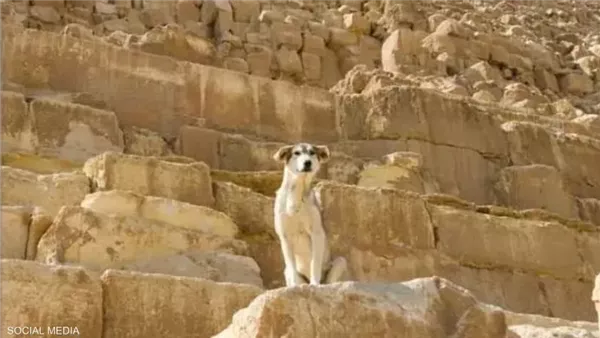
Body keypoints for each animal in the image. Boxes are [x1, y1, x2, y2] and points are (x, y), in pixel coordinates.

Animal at [272, 141, 346, 286]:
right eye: (297, 153)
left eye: (312, 153)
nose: (307, 162)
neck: (296, 194)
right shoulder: (285, 237)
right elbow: (292, 268)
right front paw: (294, 287)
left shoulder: (317, 233)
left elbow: (315, 263)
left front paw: (314, 284)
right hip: (286, 271)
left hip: (340, 262)